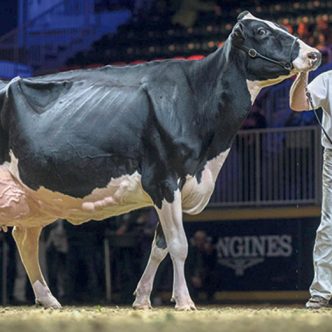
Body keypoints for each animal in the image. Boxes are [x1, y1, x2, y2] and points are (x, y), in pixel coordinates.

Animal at [0, 11, 320, 310]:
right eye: (262, 31)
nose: (314, 54)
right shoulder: (163, 180)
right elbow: (179, 245)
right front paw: (184, 301)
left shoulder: (178, 186)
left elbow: (160, 247)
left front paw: (142, 298)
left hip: (35, 200)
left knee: (25, 238)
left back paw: (48, 299)